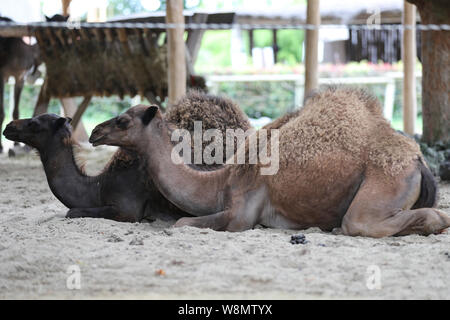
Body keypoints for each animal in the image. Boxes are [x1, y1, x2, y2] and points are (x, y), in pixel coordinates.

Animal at [90, 87, 450, 238]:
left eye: (122, 121)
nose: (94, 132)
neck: (222, 180)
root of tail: (418, 161)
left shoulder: (242, 211)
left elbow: (181, 223)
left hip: (385, 182)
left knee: (365, 222)